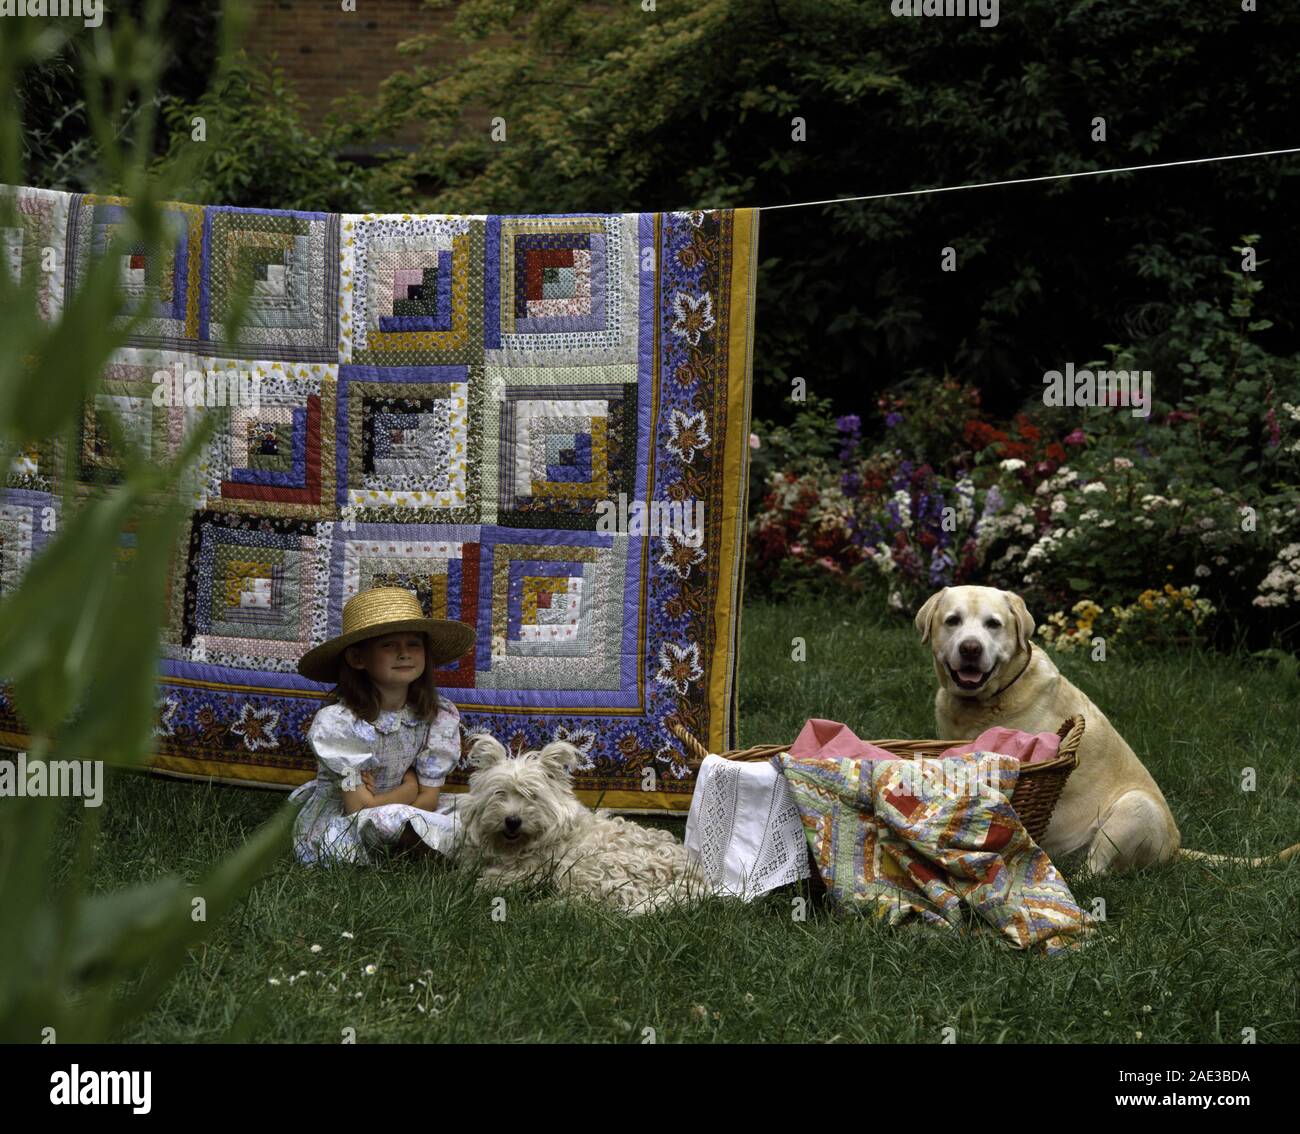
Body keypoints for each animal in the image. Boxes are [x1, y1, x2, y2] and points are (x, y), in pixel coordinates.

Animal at [460, 733, 712, 910]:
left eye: (532, 795)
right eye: (500, 793)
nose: (512, 821)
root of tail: (692, 877)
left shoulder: (536, 868)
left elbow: (496, 879)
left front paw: (480, 885)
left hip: (589, 866)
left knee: (594, 903)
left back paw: (546, 906)